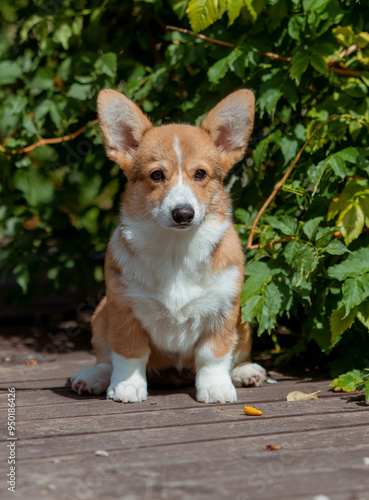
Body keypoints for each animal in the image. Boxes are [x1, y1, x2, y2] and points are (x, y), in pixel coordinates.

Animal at [69, 89, 264, 402]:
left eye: (200, 174)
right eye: (157, 175)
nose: (183, 213)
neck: (176, 249)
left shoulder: (223, 310)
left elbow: (214, 354)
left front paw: (216, 387)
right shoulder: (124, 308)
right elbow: (129, 353)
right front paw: (128, 386)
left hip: (242, 320)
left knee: (237, 352)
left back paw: (245, 371)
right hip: (101, 312)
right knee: (105, 358)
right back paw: (92, 377)